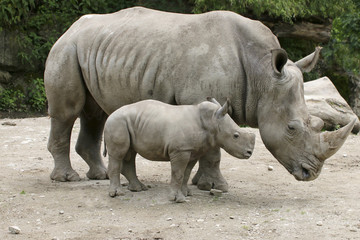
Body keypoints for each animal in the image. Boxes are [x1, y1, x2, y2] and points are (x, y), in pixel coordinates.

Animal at [44, 7, 354, 191]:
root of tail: (70, 28)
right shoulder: (204, 100)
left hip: (93, 49)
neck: (263, 76)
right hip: (66, 49)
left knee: (95, 113)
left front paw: (203, 184)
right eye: (291, 128)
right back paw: (67, 179)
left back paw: (99, 176)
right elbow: (213, 150)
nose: (312, 173)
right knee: (68, 112)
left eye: (316, 123)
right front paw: (214, 187)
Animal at [104, 98, 256, 202]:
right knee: (118, 155)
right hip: (117, 122)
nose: (249, 153)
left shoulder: (192, 150)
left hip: (128, 123)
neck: (211, 121)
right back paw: (117, 194)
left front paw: (186, 193)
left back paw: (139, 189)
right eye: (236, 136)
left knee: (130, 154)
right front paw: (178, 199)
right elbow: (178, 173)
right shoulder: (180, 150)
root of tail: (110, 115)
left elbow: (186, 173)